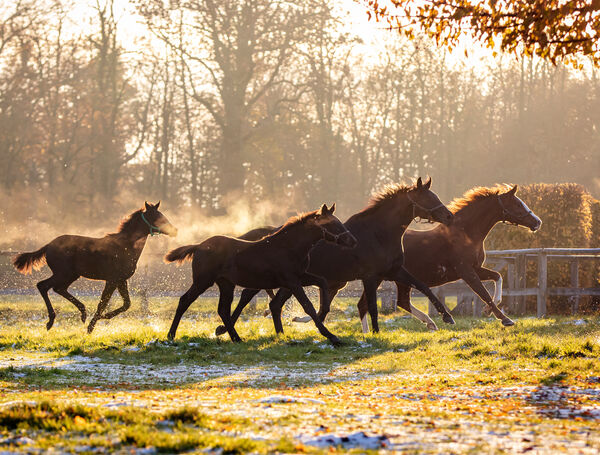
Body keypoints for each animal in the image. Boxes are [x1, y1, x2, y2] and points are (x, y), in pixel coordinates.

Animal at [12, 202, 177, 332]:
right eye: (157, 217)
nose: (175, 230)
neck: (125, 246)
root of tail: (48, 245)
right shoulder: (111, 280)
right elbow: (102, 304)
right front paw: (92, 326)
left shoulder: (121, 280)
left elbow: (126, 304)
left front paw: (102, 318)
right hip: (63, 273)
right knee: (43, 286)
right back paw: (51, 321)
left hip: (72, 275)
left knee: (58, 289)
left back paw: (83, 313)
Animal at [164, 203, 356, 346]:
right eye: (332, 224)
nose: (353, 241)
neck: (289, 247)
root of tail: (198, 246)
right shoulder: (292, 281)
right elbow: (307, 305)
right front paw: (332, 336)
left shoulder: (299, 277)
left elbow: (322, 282)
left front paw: (323, 316)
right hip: (203, 281)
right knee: (185, 301)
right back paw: (171, 335)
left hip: (226, 284)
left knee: (223, 310)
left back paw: (236, 338)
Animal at [213, 178, 452, 338]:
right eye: (427, 197)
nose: (448, 216)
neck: (379, 233)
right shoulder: (371, 277)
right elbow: (371, 306)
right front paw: (375, 333)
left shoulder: (393, 271)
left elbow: (424, 287)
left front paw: (446, 317)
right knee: (253, 298)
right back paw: (226, 328)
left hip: (288, 282)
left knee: (272, 304)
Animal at [356, 183, 544, 330]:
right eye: (517, 204)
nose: (537, 222)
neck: (465, 235)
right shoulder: (466, 271)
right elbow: (483, 292)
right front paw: (505, 319)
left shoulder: (474, 268)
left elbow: (497, 277)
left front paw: (489, 310)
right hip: (381, 277)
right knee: (366, 304)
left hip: (399, 278)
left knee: (401, 302)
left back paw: (431, 323)